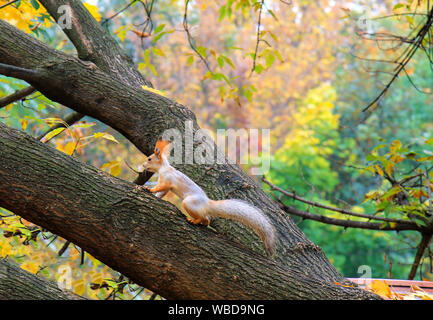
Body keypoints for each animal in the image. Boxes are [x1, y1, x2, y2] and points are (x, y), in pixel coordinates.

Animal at [142, 139, 276, 256]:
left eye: (149, 159)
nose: (143, 165)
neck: (163, 168)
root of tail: (207, 204)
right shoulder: (166, 186)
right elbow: (161, 193)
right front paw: (155, 195)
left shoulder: (168, 181)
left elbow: (161, 187)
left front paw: (150, 189)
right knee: (207, 220)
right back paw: (202, 223)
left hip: (188, 203)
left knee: (202, 217)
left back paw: (194, 220)